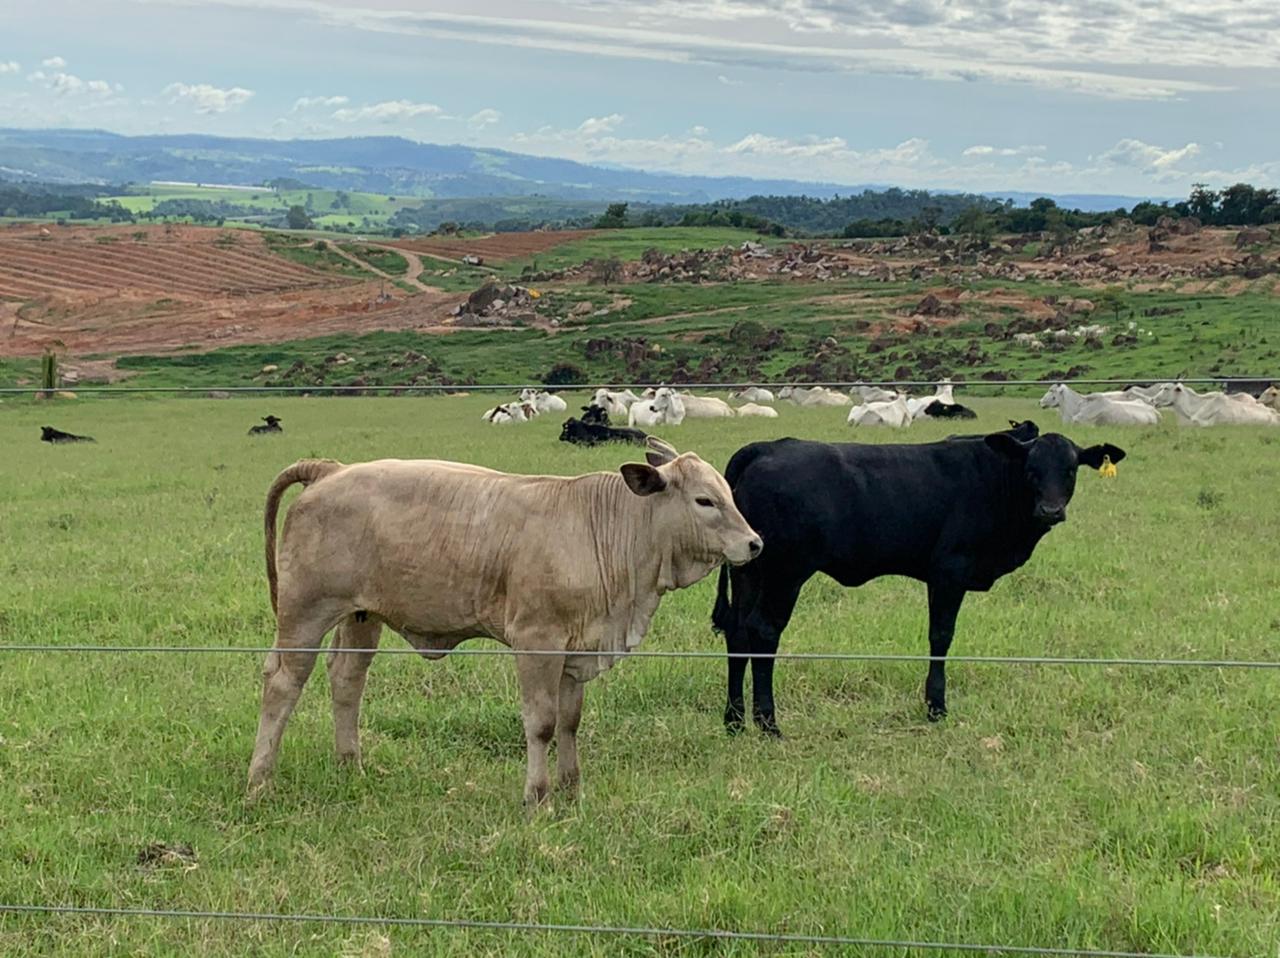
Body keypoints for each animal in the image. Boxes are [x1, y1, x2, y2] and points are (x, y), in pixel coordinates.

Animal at [716, 422, 1126, 727]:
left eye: (1070, 470)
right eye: (1031, 470)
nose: (1050, 510)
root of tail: (766, 447)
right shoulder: (949, 571)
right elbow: (940, 637)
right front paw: (936, 707)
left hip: (749, 570)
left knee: (738, 632)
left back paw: (735, 720)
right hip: (786, 573)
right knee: (763, 632)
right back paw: (768, 723)